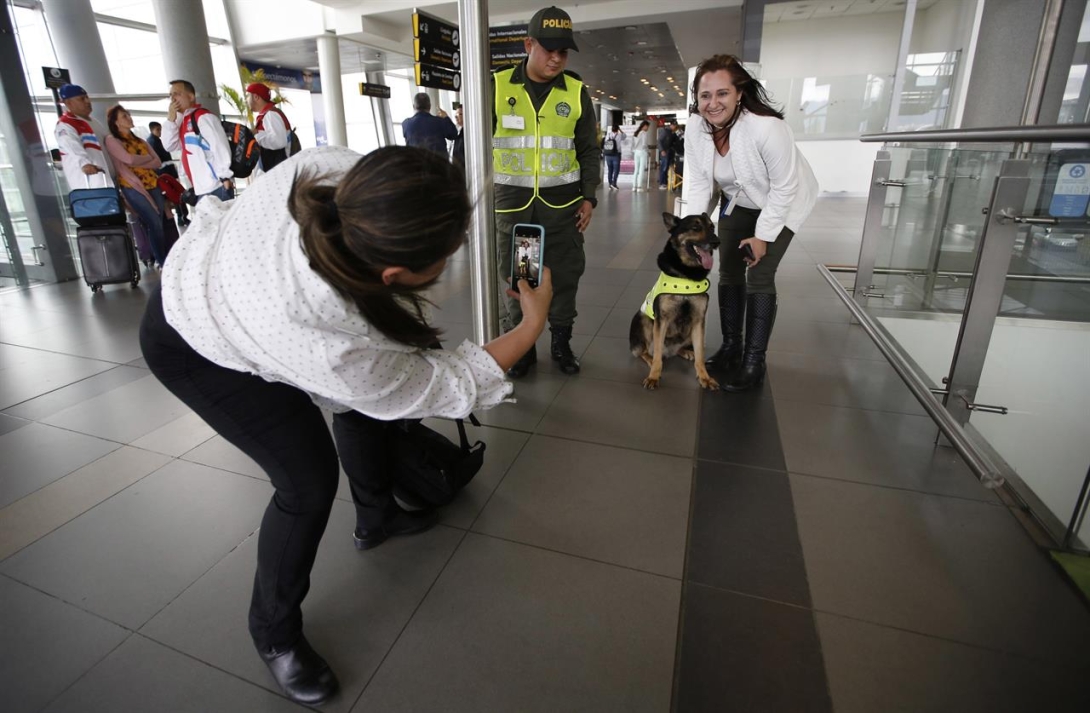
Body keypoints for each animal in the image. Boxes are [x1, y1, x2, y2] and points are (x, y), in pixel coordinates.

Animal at [636, 212, 719, 390]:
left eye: (712, 227)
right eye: (695, 227)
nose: (717, 242)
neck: (686, 275)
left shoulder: (698, 321)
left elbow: (701, 355)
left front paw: (705, 377)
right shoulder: (661, 320)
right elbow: (657, 355)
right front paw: (654, 376)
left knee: (681, 348)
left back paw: (686, 351)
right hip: (644, 320)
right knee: (646, 351)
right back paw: (650, 359)